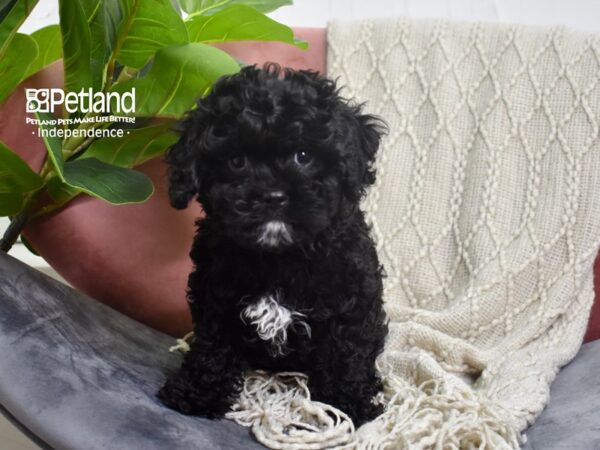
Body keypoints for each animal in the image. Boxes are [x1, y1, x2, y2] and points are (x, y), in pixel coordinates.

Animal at [157, 63, 386, 426]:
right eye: (236, 161)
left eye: (304, 156)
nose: (273, 196)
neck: (280, 256)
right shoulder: (215, 294)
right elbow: (214, 346)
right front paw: (197, 392)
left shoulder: (354, 300)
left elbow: (347, 353)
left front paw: (347, 405)